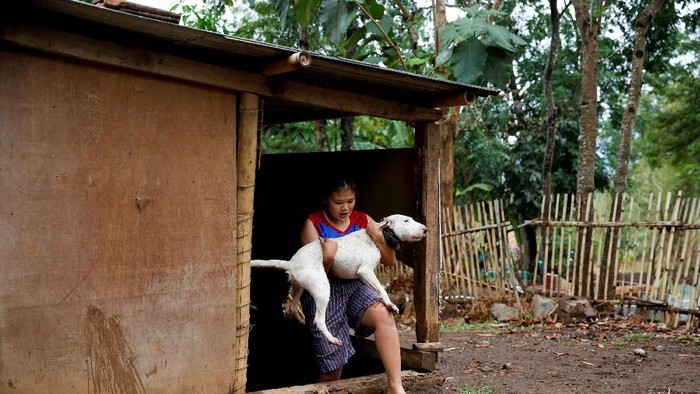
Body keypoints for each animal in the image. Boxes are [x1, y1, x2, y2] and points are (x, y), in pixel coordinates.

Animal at [252, 214, 426, 346]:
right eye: (406, 221)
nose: (425, 229)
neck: (377, 237)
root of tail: (292, 263)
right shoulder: (365, 270)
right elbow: (382, 289)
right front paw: (390, 304)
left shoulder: (363, 275)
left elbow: (377, 289)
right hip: (322, 289)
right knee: (318, 320)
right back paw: (332, 339)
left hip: (300, 288)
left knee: (293, 308)